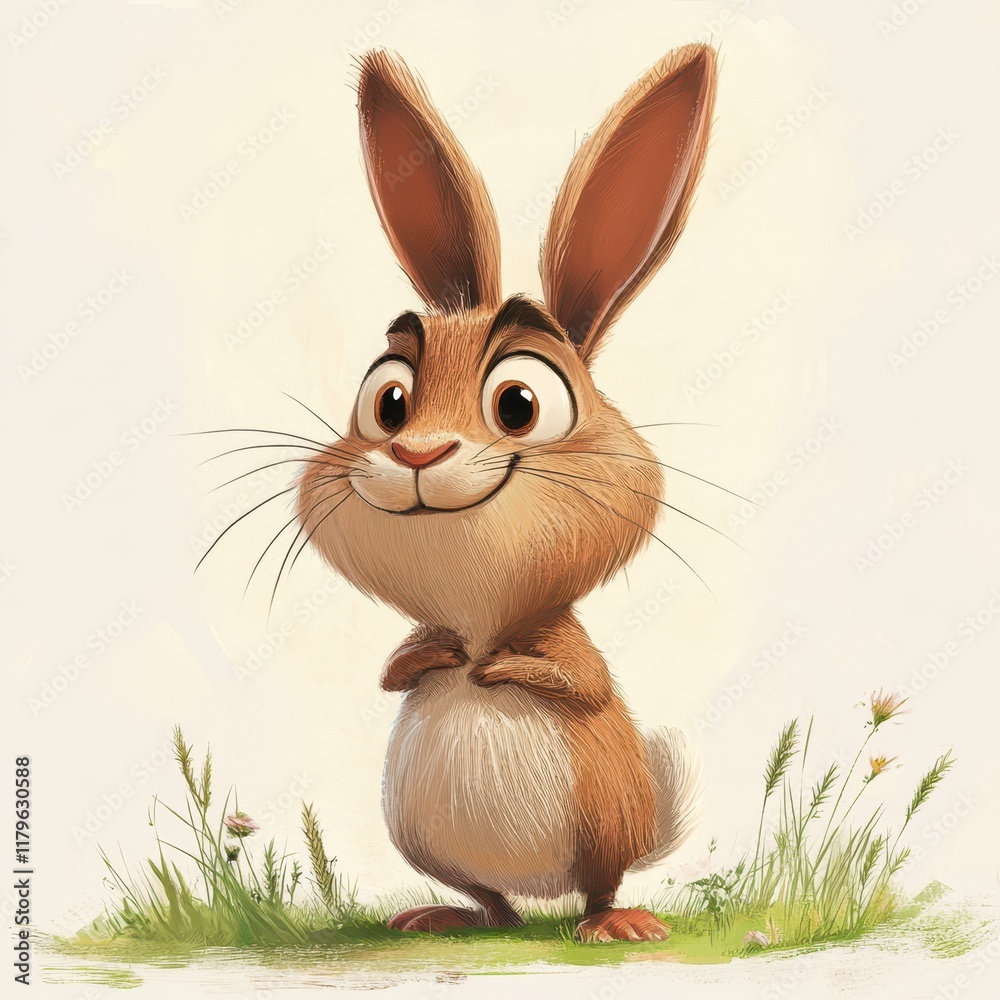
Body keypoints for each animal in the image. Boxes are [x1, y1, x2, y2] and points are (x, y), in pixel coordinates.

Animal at [296, 43, 717, 942]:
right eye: (388, 400)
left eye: (520, 403)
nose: (417, 450)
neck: (480, 612)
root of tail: (539, 892)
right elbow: (394, 672)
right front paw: (436, 658)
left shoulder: (569, 640)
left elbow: (582, 683)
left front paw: (498, 670)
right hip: (423, 837)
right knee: (493, 904)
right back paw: (449, 917)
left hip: (605, 824)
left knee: (599, 885)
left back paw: (615, 924)